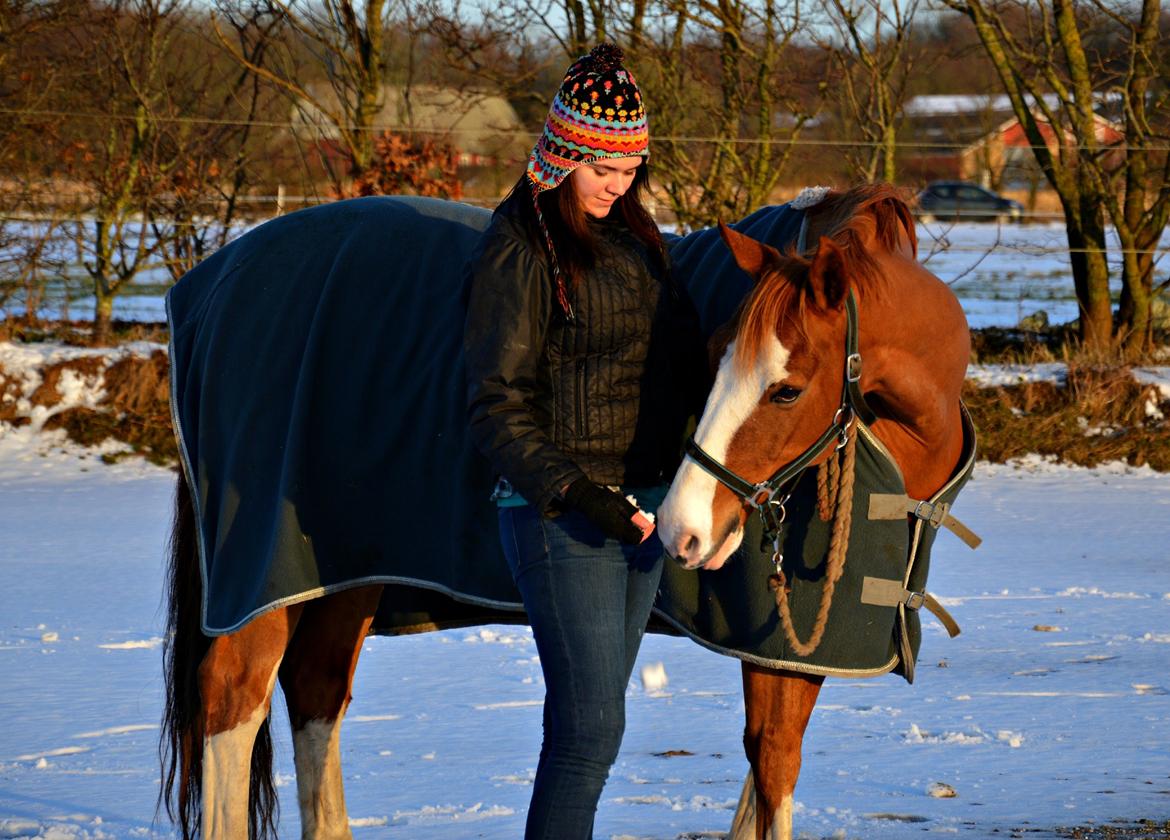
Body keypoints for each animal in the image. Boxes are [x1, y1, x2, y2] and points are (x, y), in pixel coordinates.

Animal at [162, 186, 968, 840]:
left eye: (788, 389)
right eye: (713, 353)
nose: (682, 529)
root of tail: (214, 285)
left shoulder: (796, 653)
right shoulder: (776, 650)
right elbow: (771, 776)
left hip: (346, 574)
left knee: (317, 692)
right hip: (264, 578)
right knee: (235, 704)